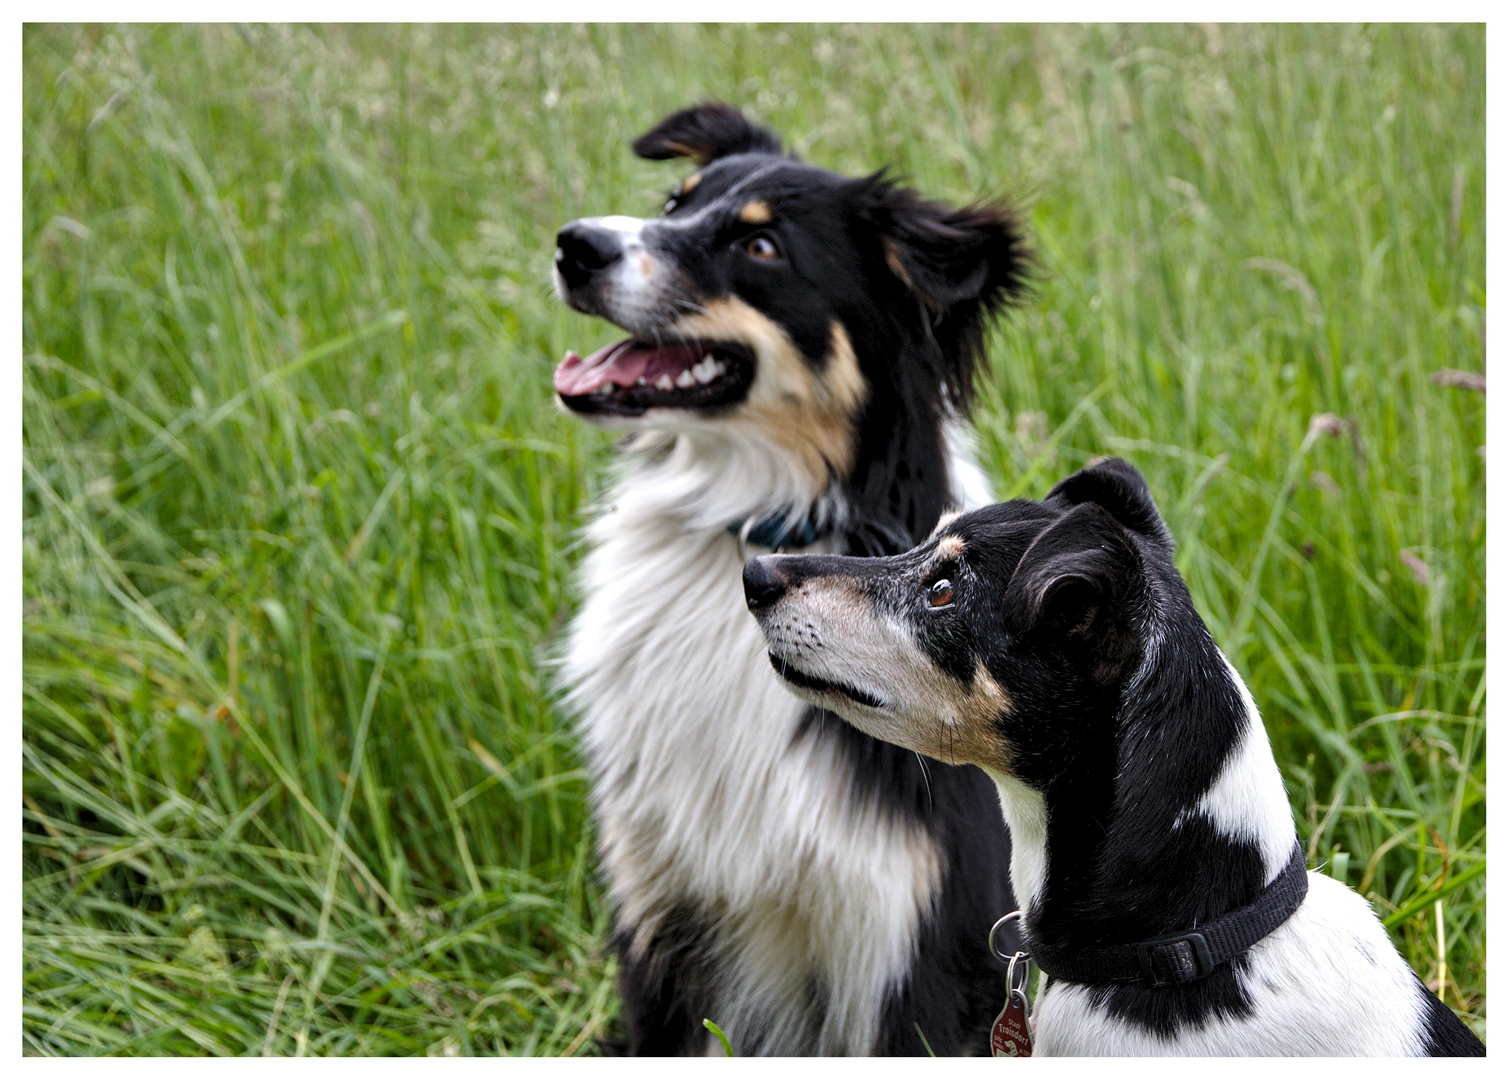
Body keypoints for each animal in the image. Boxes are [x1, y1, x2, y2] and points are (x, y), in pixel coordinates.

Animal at [555, 103, 1038, 1055]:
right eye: (674, 202)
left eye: (761, 247)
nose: (574, 245)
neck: (747, 525)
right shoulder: (658, 914)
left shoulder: (910, 943)